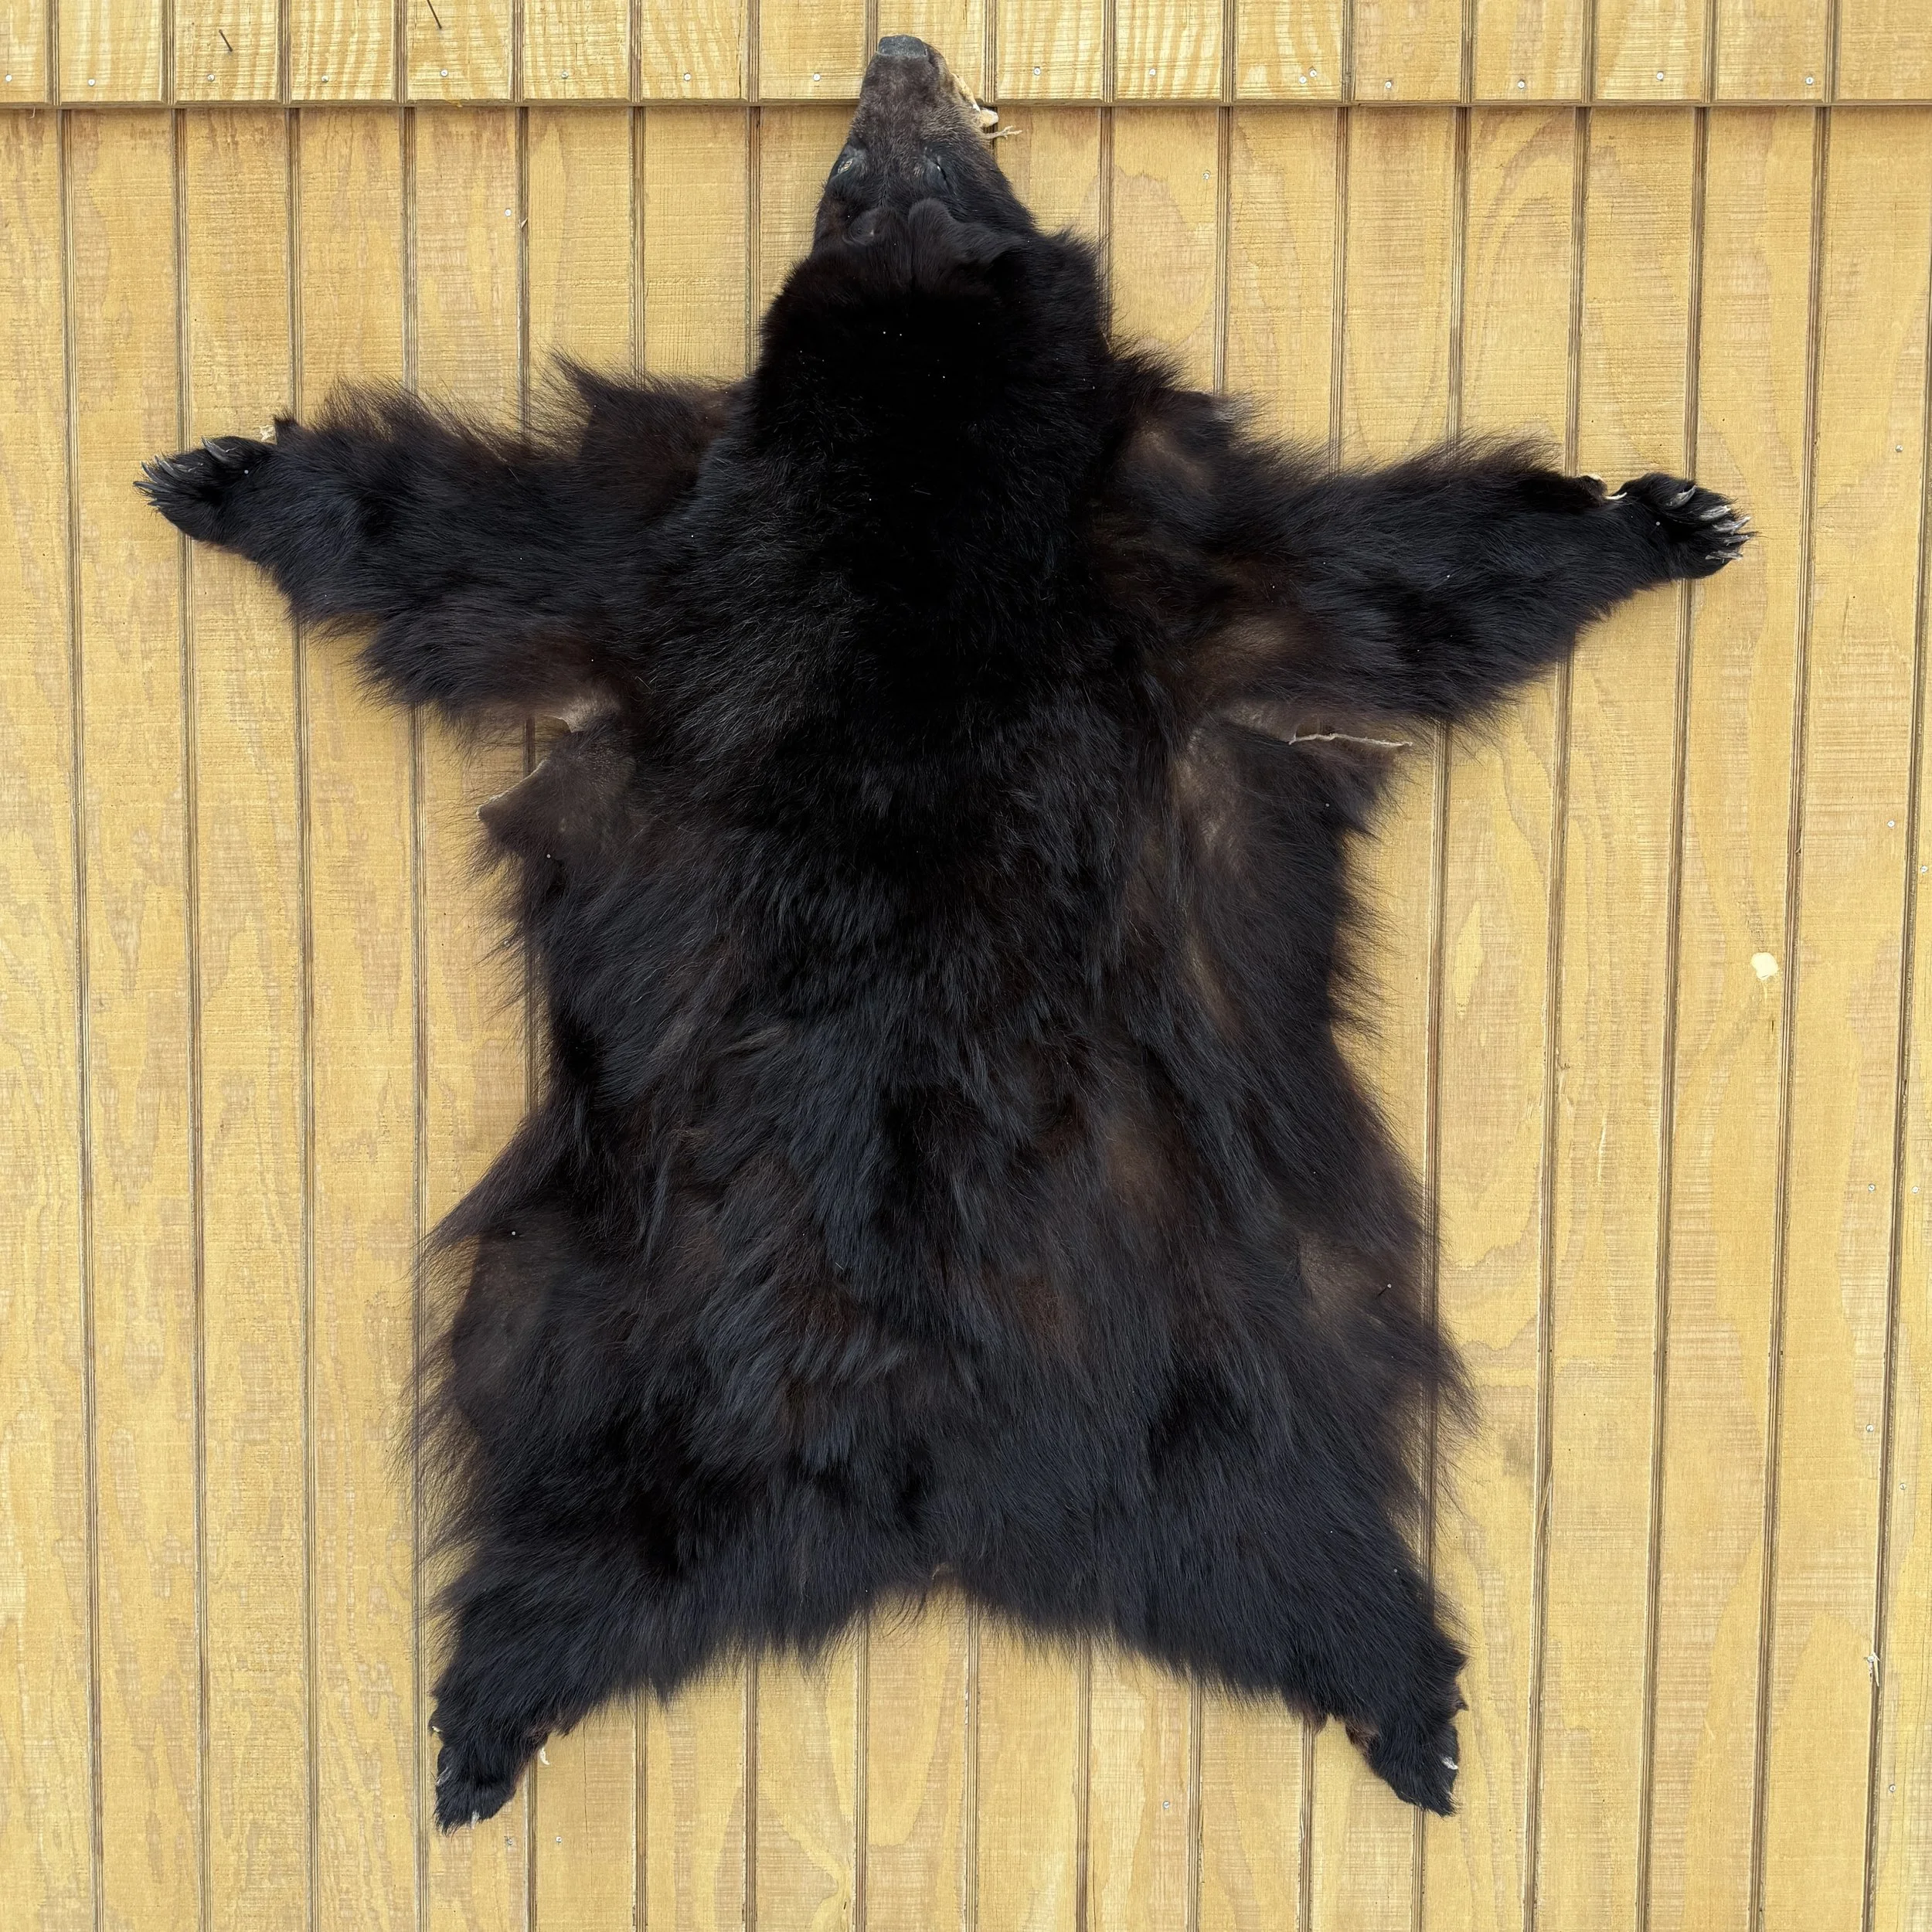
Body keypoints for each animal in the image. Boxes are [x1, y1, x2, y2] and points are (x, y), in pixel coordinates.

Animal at [140, 33, 1749, 1832]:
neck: (920, 497)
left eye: (950, 178)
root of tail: (929, 1488)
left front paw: (1659, 515)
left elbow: (1415, 583)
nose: (901, 56)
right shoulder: (666, 563)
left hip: (1236, 1343)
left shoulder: (1192, 579)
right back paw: (481, 1724)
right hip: (594, 1318)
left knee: (1300, 1526)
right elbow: (452, 550)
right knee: (567, 1535)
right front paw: (224, 478)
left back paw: (1407, 1707)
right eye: (854, 175)